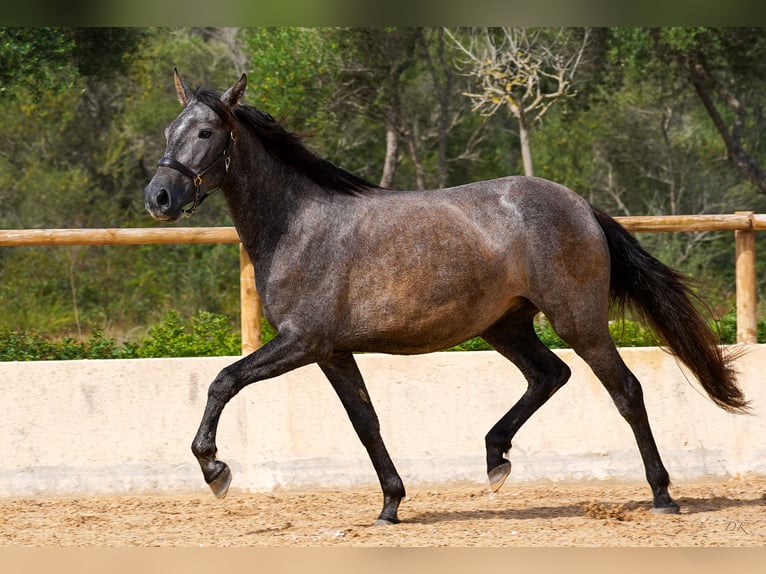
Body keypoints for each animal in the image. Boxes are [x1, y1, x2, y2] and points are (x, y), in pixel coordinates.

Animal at [146, 70, 752, 528]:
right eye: (170, 129)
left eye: (205, 132)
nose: (159, 197)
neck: (297, 225)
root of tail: (581, 205)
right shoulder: (332, 351)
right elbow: (366, 422)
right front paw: (390, 505)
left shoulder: (302, 341)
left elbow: (223, 380)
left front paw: (216, 471)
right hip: (506, 326)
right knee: (549, 375)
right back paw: (495, 458)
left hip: (578, 321)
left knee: (625, 390)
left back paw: (662, 495)